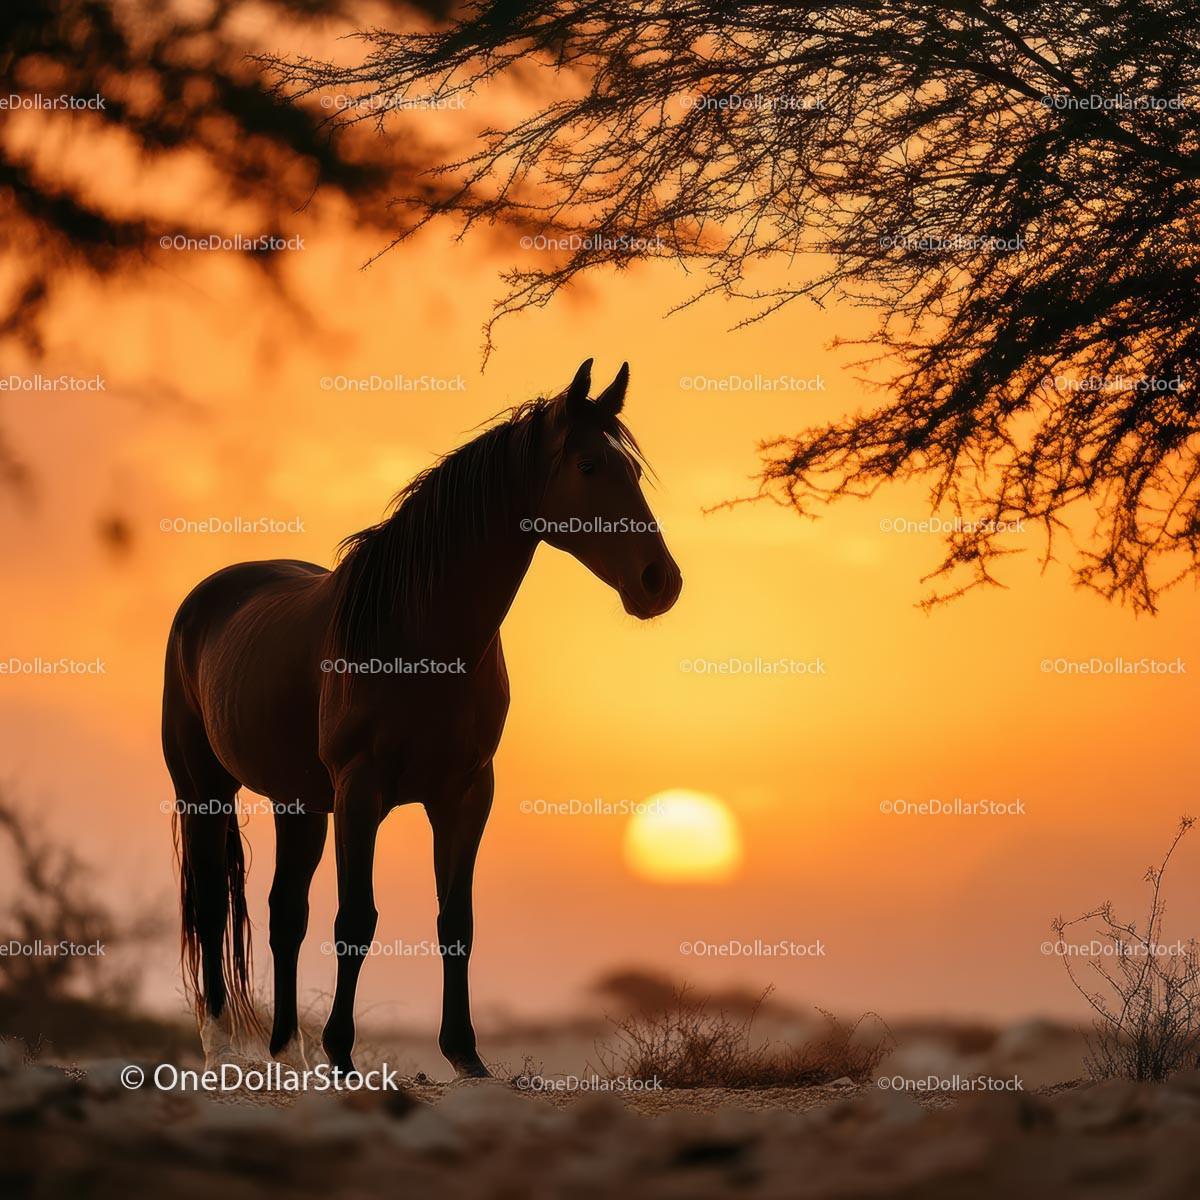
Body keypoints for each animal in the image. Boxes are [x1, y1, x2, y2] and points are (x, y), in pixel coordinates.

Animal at [162, 359, 682, 1077]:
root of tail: (209, 596)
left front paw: (465, 1055)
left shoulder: (465, 793)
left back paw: (286, 1052)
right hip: (204, 790)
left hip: (299, 804)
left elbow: (455, 923)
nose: (661, 582)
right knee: (213, 906)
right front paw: (342, 1055)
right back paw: (223, 1049)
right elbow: (356, 920)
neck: (419, 634)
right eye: (587, 465)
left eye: (630, 468)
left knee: (284, 914)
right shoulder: (359, 791)